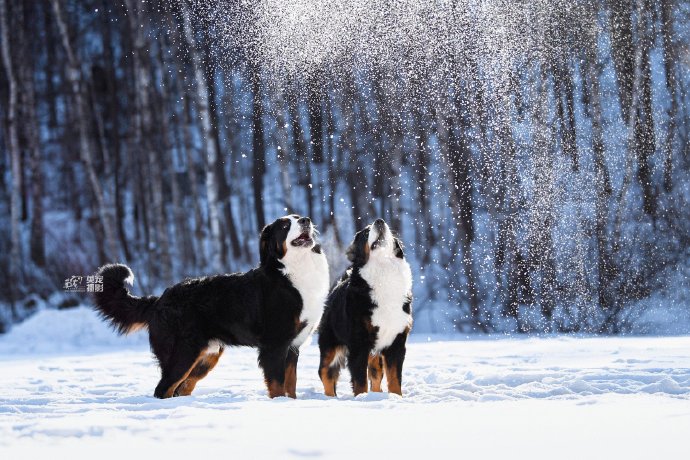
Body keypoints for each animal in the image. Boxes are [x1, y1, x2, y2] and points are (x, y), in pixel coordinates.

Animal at [90, 216, 328, 398]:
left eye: (298, 217)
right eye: (286, 225)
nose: (306, 220)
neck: (292, 272)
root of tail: (159, 299)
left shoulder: (293, 346)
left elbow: (290, 385)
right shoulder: (275, 345)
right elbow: (278, 386)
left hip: (205, 357)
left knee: (181, 388)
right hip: (183, 353)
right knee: (163, 388)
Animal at [320, 218, 412, 396]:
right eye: (365, 232)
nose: (379, 221)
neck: (384, 273)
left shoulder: (396, 341)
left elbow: (394, 378)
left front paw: (396, 397)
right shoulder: (359, 343)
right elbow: (360, 380)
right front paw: (361, 398)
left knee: (376, 373)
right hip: (330, 346)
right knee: (326, 372)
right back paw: (330, 398)